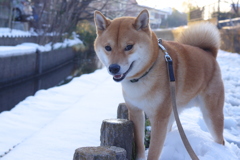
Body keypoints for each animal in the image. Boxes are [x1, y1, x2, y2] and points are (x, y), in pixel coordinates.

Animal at [93, 9, 223, 159]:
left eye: (129, 47)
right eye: (108, 48)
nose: (113, 68)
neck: (143, 75)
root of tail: (209, 54)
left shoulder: (159, 118)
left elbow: (154, 150)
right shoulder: (136, 111)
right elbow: (139, 143)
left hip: (211, 114)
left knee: (220, 139)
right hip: (173, 111)